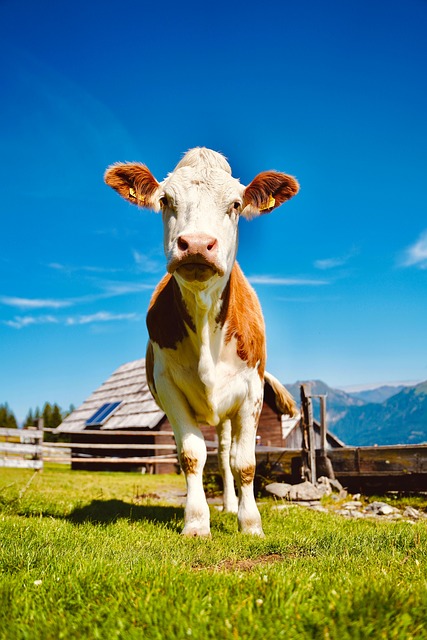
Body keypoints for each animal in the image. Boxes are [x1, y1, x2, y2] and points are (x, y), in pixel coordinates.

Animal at [104, 147, 299, 536]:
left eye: (236, 204)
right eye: (166, 200)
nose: (195, 244)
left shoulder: (252, 391)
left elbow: (244, 462)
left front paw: (250, 523)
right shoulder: (168, 388)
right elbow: (192, 455)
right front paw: (195, 521)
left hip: (226, 414)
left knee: (225, 455)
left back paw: (229, 505)